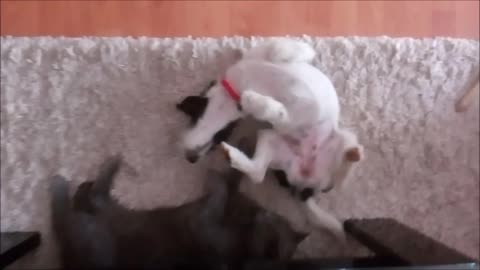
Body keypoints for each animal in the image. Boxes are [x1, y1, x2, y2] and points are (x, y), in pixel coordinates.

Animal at [180, 38, 364, 240]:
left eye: (221, 134)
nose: (191, 158)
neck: (236, 87)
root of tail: (305, 186)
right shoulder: (283, 121)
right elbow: (277, 111)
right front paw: (254, 99)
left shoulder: (276, 55)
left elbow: (280, 49)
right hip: (269, 139)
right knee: (258, 173)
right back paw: (233, 156)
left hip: (343, 138)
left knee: (341, 179)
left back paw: (353, 153)